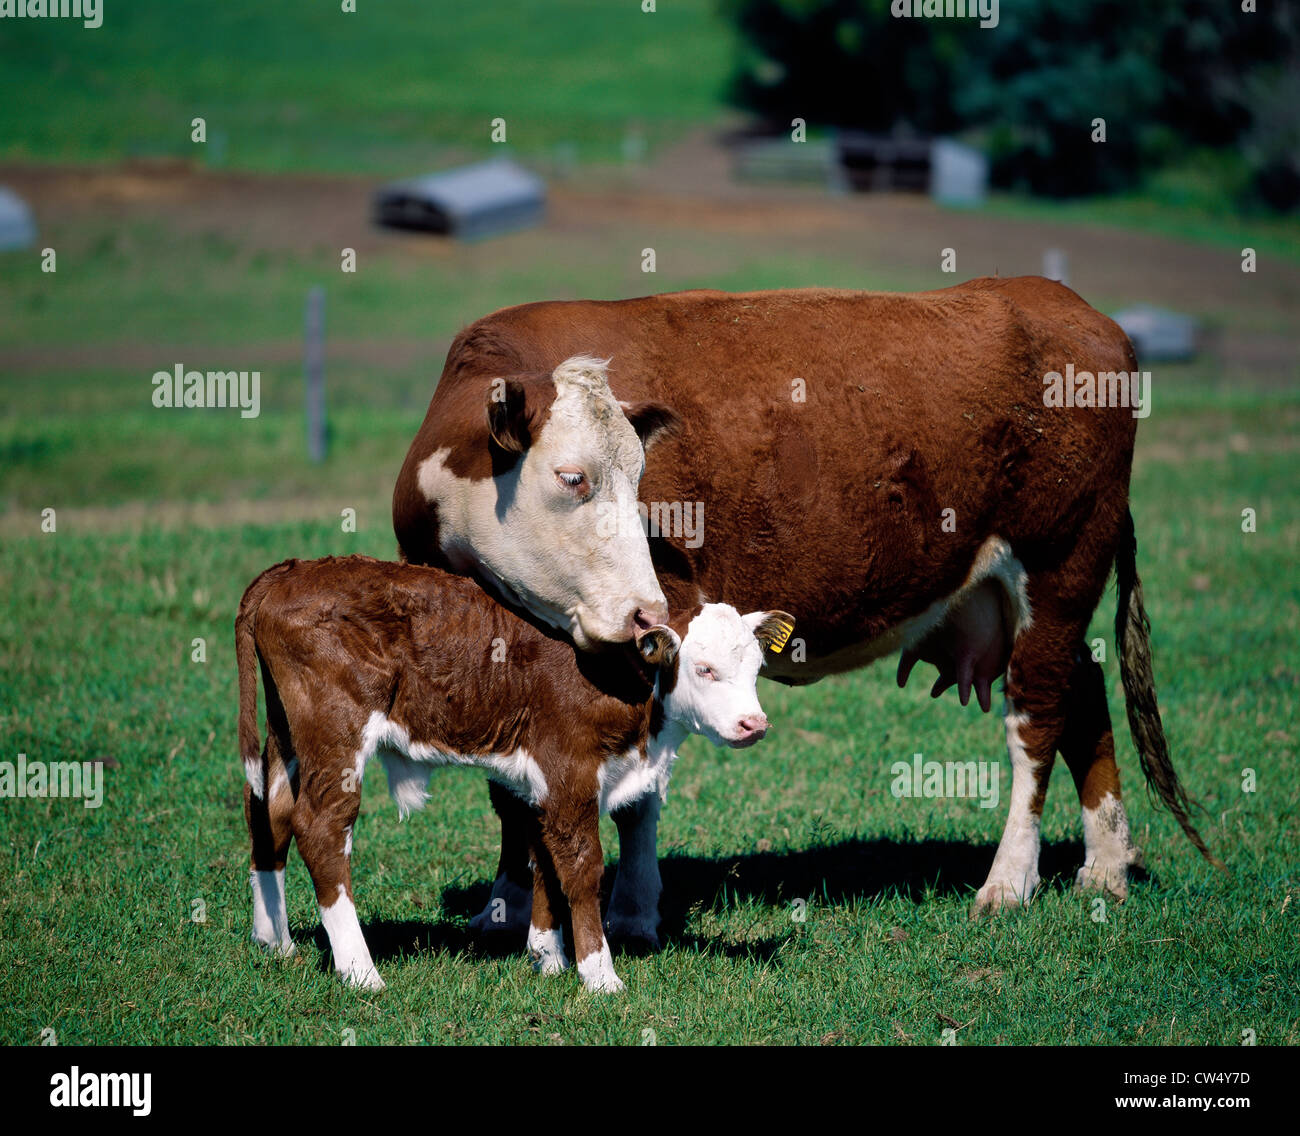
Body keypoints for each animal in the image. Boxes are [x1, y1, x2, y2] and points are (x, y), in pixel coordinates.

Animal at [233, 553, 790, 987]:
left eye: (755, 667)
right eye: (704, 669)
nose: (755, 724)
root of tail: (292, 570)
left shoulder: (542, 780)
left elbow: (544, 859)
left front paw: (548, 956)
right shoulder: (570, 772)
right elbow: (582, 869)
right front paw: (599, 974)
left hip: (288, 733)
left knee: (270, 812)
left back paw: (275, 942)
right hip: (336, 735)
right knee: (322, 829)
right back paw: (360, 971)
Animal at [392, 276, 1216, 941]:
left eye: (641, 476)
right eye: (573, 477)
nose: (645, 613)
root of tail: (1073, 308)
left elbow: (639, 791)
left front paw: (632, 909)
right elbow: (511, 787)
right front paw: (504, 906)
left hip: (1059, 563)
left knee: (1038, 719)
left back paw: (1009, 881)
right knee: (1086, 697)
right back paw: (1105, 865)